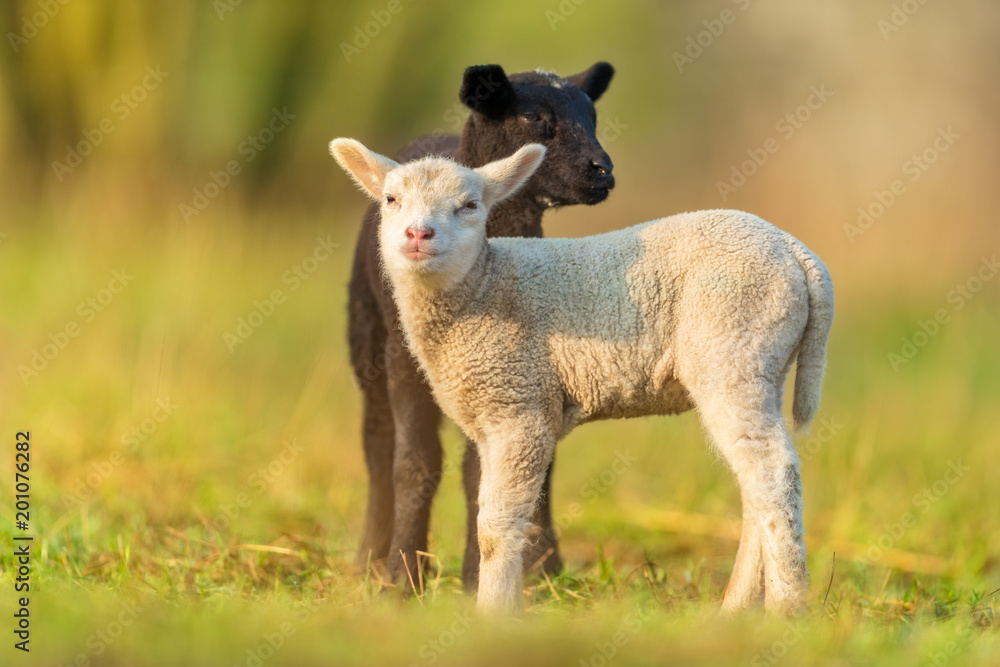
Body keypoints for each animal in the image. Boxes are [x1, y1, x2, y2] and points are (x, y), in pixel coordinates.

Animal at [330, 139, 835, 614]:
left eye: (470, 205)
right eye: (391, 199)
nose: (419, 233)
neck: (483, 287)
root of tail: (799, 254)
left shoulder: (520, 407)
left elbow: (496, 527)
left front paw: (491, 614)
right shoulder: (494, 417)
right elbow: (496, 515)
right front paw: (508, 606)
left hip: (733, 345)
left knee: (773, 474)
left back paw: (786, 608)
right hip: (763, 361)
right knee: (756, 484)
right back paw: (735, 609)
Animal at [345, 62, 617, 588]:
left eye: (593, 115)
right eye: (533, 116)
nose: (603, 171)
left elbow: (494, 471)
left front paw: (504, 573)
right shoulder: (403, 360)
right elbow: (415, 462)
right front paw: (402, 579)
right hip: (365, 336)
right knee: (377, 443)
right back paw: (369, 556)